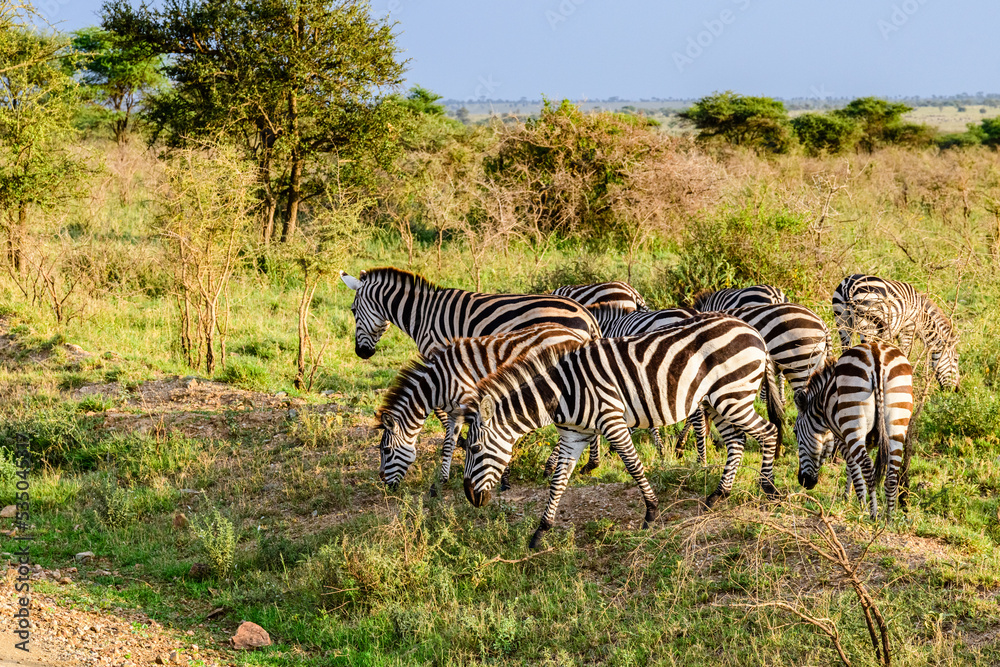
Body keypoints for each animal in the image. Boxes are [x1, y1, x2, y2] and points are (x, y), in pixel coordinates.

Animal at [375, 324, 595, 495]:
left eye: (386, 450)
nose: (384, 483)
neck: (439, 383)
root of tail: (575, 333)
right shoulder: (454, 413)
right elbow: (448, 444)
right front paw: (439, 483)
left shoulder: (472, 405)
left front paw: (503, 480)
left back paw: (563, 466)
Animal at [460, 314, 784, 550]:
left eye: (475, 449)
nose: (470, 498)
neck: (561, 392)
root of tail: (752, 330)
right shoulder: (573, 435)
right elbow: (557, 482)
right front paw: (540, 532)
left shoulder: (611, 419)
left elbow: (633, 464)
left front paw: (651, 513)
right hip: (717, 400)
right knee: (737, 441)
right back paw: (718, 495)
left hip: (732, 394)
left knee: (767, 432)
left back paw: (769, 489)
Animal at [794, 341, 914, 520]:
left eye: (795, 432)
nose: (803, 482)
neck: (822, 402)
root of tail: (877, 355)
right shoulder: (868, 441)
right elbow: (852, 468)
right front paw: (848, 497)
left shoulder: (842, 437)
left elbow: (853, 467)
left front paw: (859, 502)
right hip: (897, 422)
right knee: (892, 474)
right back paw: (889, 518)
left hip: (852, 419)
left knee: (868, 468)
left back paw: (873, 513)